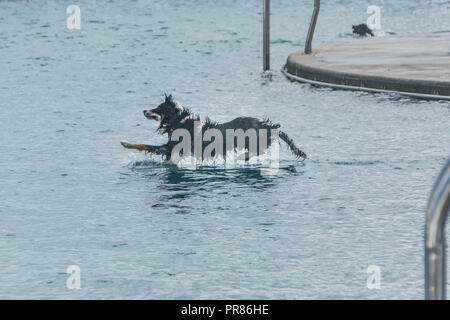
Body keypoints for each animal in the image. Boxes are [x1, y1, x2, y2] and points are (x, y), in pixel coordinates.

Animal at [121, 94, 308, 161]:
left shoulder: (169, 147)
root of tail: (267, 125)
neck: (179, 121)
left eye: (157, 108)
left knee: (259, 150)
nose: (144, 110)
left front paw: (126, 143)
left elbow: (145, 145)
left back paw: (243, 157)